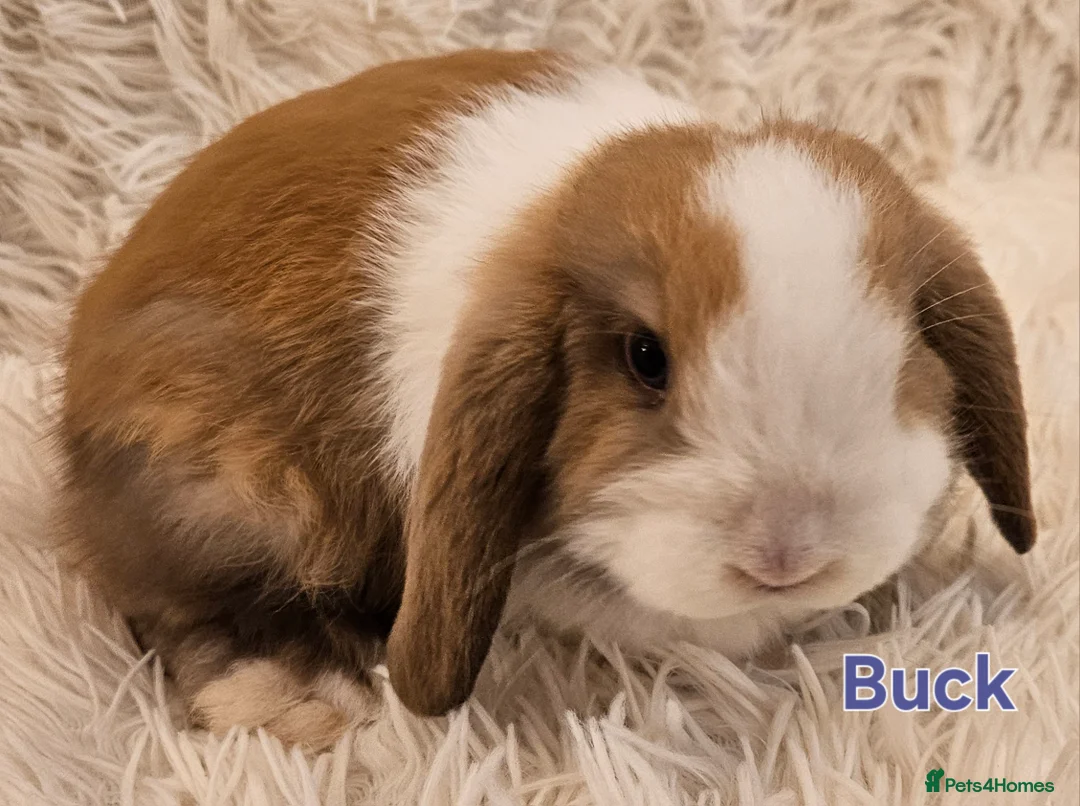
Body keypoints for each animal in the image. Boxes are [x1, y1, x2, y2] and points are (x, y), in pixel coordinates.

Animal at [55, 48, 1036, 749]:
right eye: (645, 358)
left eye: (907, 342)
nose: (789, 553)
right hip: (227, 482)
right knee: (185, 596)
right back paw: (305, 697)